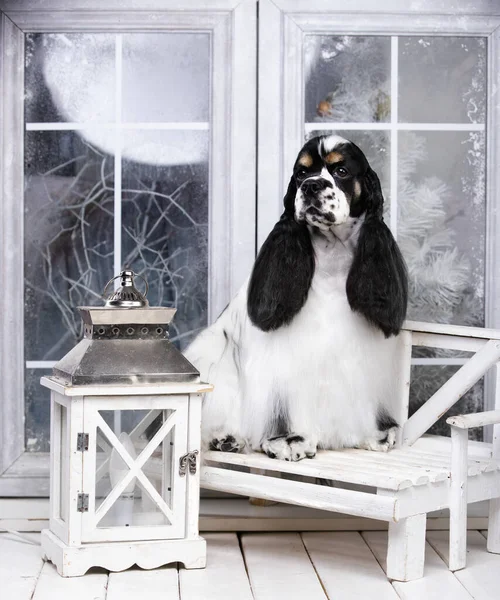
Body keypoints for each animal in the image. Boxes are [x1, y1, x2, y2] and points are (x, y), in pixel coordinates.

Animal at [186, 136, 408, 462]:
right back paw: (226, 438)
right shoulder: (286, 361)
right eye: (301, 173)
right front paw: (290, 441)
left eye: (341, 170)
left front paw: (376, 435)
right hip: (213, 351)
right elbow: (286, 405)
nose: (311, 186)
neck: (332, 254)